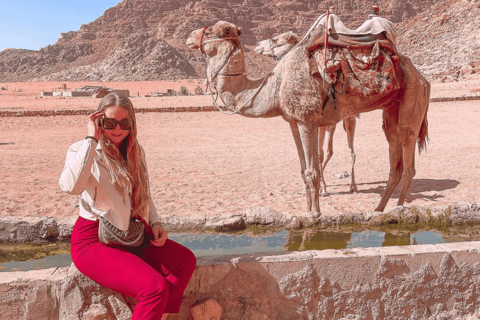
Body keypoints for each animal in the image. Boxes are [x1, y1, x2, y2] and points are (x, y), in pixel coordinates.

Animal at [255, 31, 356, 195]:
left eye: (275, 39)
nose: (257, 45)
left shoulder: (317, 121)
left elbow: (319, 154)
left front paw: (323, 188)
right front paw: (310, 187)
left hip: (350, 118)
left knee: (350, 149)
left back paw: (353, 185)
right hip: (334, 123)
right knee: (331, 150)